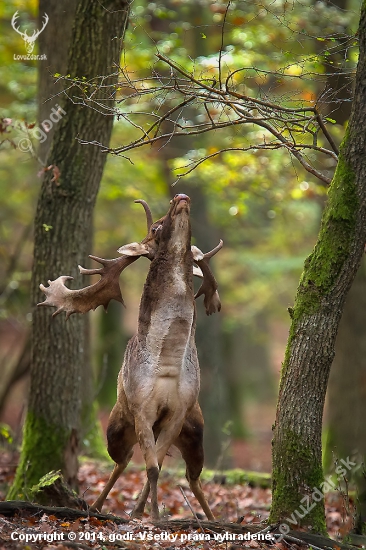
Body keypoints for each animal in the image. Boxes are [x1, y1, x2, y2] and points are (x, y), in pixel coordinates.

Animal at [40, 194, 223, 520]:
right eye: (156, 228)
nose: (180, 197)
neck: (167, 363)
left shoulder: (179, 411)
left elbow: (157, 466)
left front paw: (151, 513)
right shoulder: (141, 408)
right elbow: (150, 468)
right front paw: (154, 516)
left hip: (195, 430)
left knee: (192, 475)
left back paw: (210, 518)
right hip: (117, 424)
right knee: (121, 461)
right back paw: (99, 506)